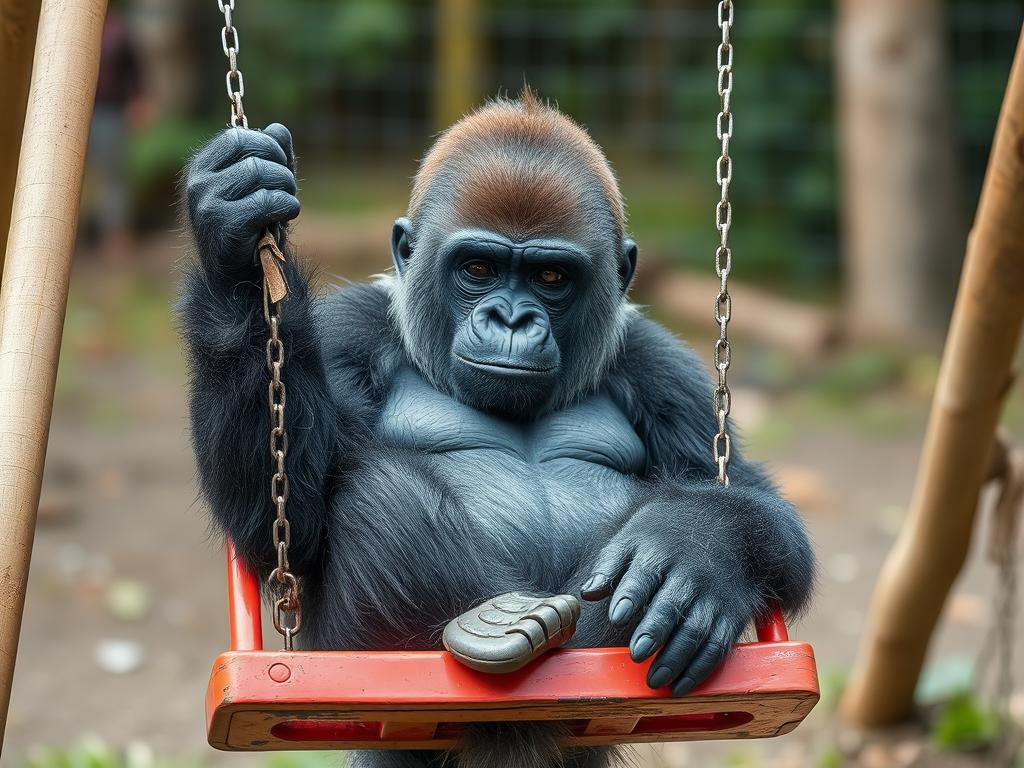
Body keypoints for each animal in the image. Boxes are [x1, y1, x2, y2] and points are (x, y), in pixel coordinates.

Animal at [178, 91, 815, 768]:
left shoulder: (666, 369)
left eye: (552, 278)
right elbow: (290, 523)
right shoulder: (347, 333)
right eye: (478, 268)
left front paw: (700, 546)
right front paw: (231, 241)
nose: (510, 319)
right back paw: (499, 629)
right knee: (378, 490)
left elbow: (746, 499)